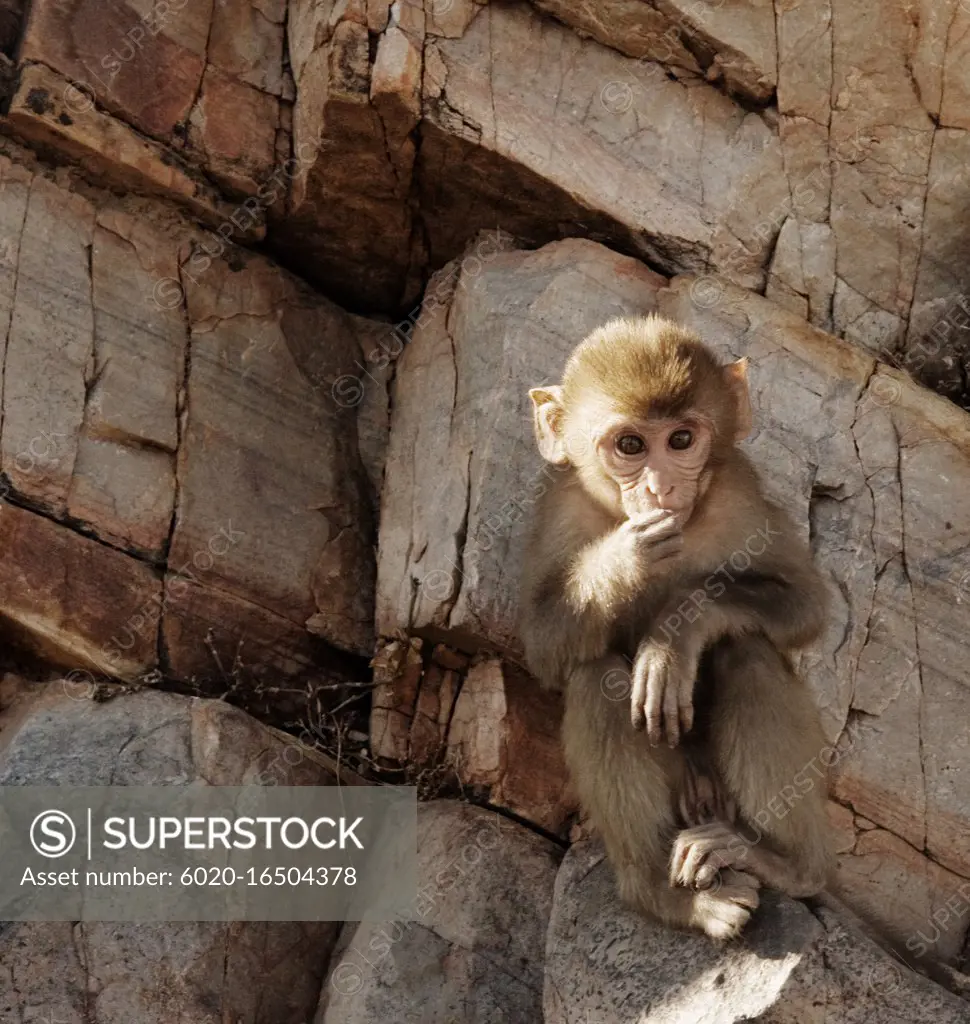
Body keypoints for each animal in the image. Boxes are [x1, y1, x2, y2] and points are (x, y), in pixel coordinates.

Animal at [524, 315, 835, 937]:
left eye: (682, 441)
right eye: (630, 445)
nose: (661, 488)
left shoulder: (740, 490)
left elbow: (805, 605)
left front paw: (674, 636)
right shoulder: (561, 508)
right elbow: (542, 644)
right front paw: (627, 557)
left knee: (747, 651)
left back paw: (786, 864)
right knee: (595, 676)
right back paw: (667, 895)